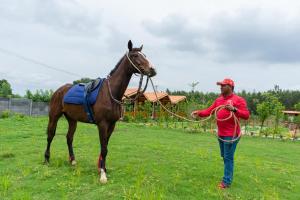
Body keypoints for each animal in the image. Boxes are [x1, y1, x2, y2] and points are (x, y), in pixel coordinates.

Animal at [45, 40, 157, 183]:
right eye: (135, 56)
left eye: (145, 55)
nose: (152, 70)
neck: (110, 93)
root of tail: (59, 90)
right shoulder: (102, 124)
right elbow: (104, 149)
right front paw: (103, 175)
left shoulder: (111, 125)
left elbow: (105, 147)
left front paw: (103, 168)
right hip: (54, 117)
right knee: (50, 135)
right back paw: (47, 159)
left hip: (72, 120)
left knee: (69, 137)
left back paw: (73, 161)